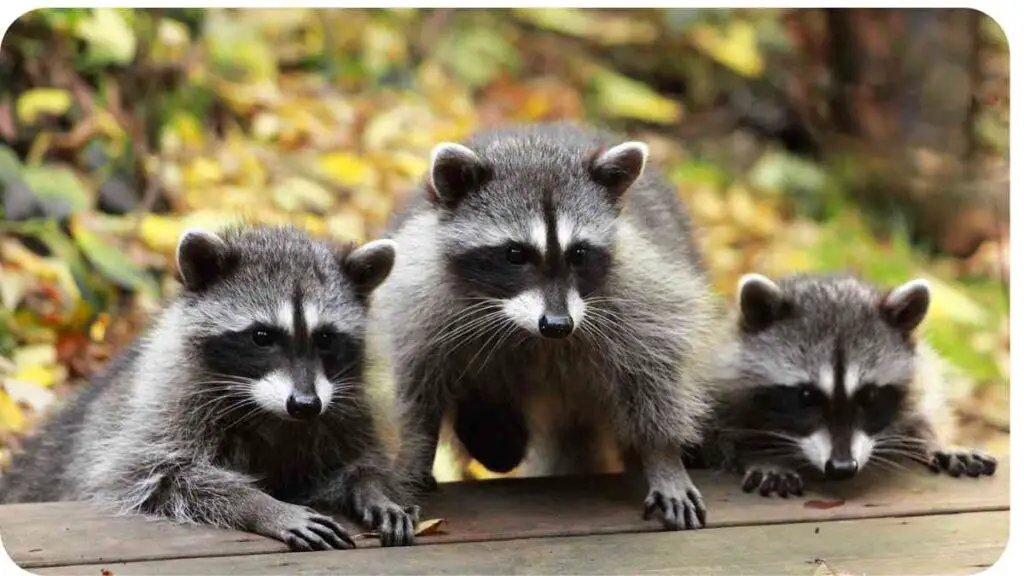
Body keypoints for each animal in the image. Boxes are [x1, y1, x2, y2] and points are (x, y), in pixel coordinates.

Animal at [0, 224, 419, 545]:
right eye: (262, 336)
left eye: (326, 339)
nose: (304, 404)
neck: (270, 411)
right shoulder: (168, 402)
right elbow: (159, 475)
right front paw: (261, 505)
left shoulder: (346, 405)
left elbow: (359, 459)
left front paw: (372, 487)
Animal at [372, 120, 724, 528]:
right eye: (514, 254)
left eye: (579, 253)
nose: (557, 324)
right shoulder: (419, 295)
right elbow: (418, 386)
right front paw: (416, 451)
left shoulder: (641, 291)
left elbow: (655, 370)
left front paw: (663, 456)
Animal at [700, 270, 995, 496]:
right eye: (806, 396)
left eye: (870, 396)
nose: (842, 468)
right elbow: (721, 436)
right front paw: (764, 457)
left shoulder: (920, 375)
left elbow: (922, 410)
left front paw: (937, 441)